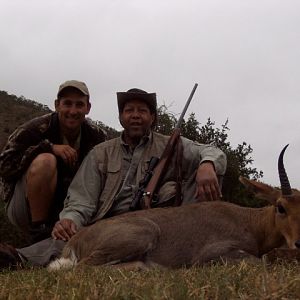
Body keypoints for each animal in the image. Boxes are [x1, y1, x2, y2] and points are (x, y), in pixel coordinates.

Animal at [47, 144, 300, 270]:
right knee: (81, 268)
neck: (249, 222)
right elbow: (261, 262)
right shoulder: (212, 254)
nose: (298, 242)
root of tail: (76, 239)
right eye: (280, 206)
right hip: (144, 233)